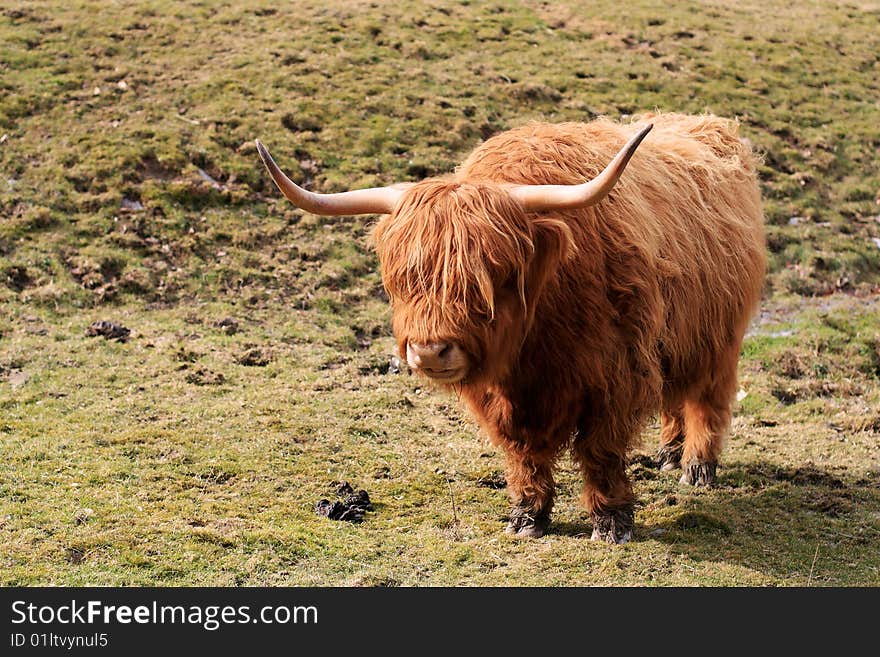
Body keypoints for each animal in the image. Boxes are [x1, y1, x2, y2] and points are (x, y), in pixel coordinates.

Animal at [253, 114, 764, 544]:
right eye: (404, 277)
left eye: (491, 275)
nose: (429, 352)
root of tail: (707, 124)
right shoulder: (504, 400)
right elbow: (523, 454)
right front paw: (527, 517)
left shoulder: (615, 376)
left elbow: (600, 452)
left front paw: (611, 521)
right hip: (674, 339)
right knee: (675, 394)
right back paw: (670, 453)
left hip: (720, 338)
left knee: (708, 399)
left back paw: (696, 467)